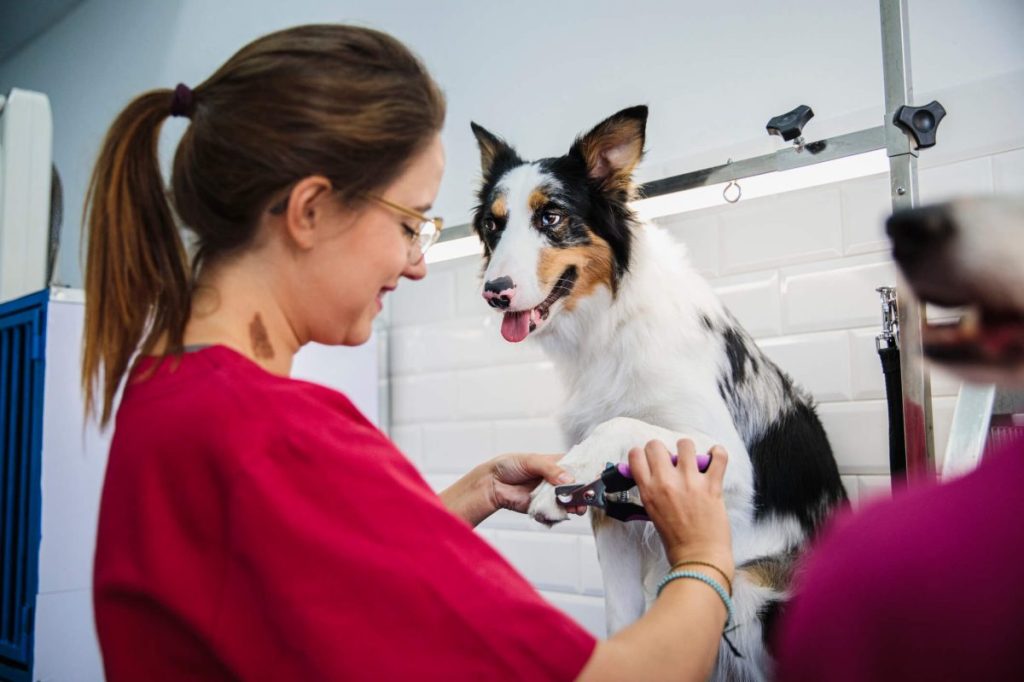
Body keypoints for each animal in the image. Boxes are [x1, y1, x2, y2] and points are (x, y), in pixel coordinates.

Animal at [471, 103, 847, 675]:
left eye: (550, 217)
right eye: (493, 225)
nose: (493, 293)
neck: (611, 325)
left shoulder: (730, 463)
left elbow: (620, 421)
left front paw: (562, 480)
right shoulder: (613, 517)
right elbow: (621, 622)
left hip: (753, 587)